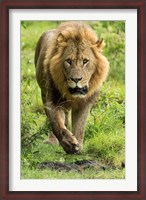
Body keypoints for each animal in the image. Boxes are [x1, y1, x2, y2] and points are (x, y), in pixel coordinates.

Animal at [34, 21, 109, 153]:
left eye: (85, 61)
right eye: (68, 61)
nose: (76, 79)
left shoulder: (84, 103)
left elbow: (80, 125)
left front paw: (78, 146)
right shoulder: (52, 101)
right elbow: (56, 124)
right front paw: (69, 144)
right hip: (43, 92)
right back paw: (52, 140)